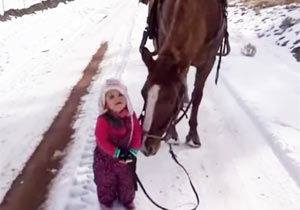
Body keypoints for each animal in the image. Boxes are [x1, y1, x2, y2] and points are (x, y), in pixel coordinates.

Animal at [140, 0, 230, 156]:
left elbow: (197, 96)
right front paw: (172, 134)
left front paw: (193, 135)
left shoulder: (208, 62)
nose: (146, 146)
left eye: (171, 100)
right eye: (143, 93)